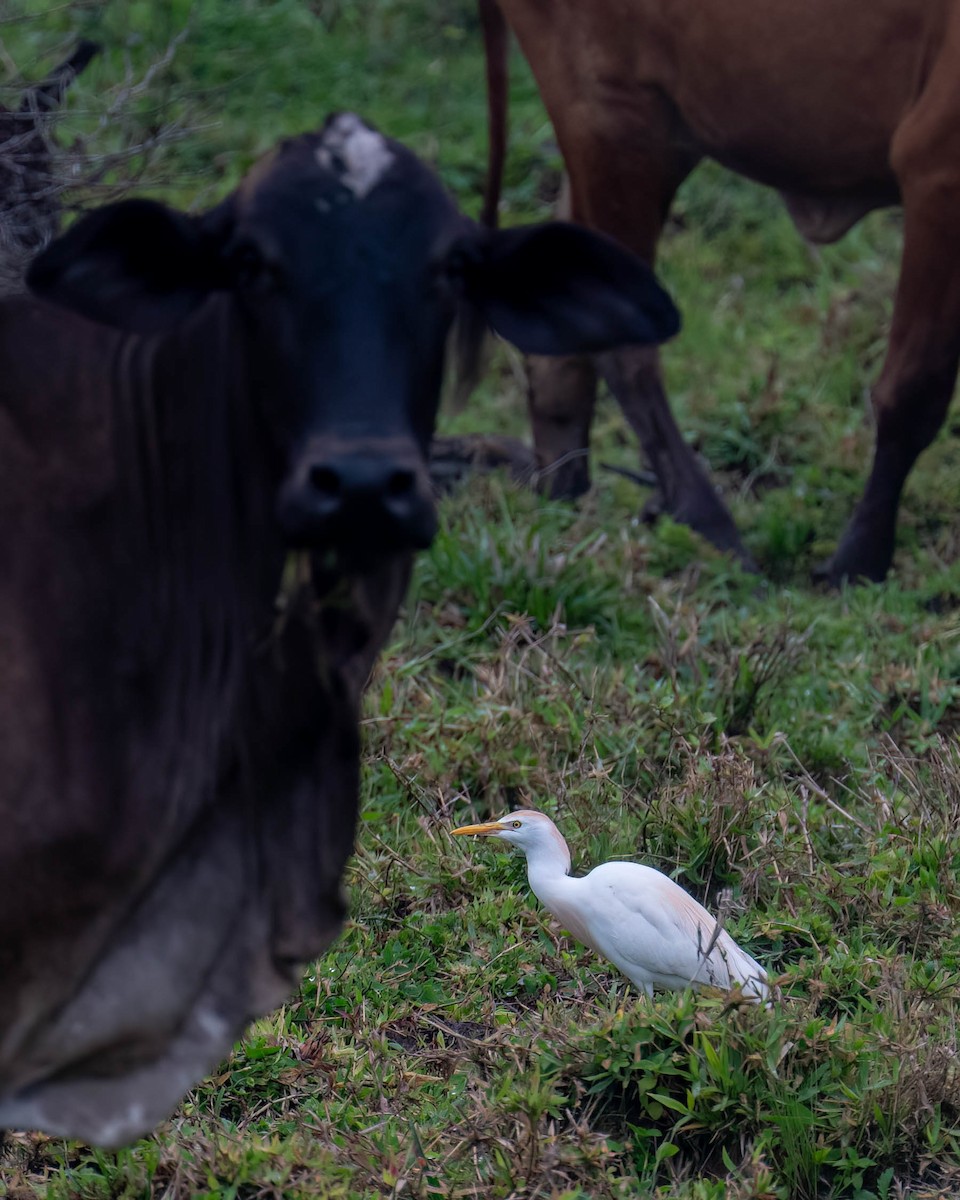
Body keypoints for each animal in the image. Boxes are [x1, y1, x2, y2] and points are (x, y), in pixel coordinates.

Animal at [479, 0, 960, 584]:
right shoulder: (938, 165)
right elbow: (915, 390)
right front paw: (857, 563)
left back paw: (563, 490)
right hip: (610, 112)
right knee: (623, 348)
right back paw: (709, 524)